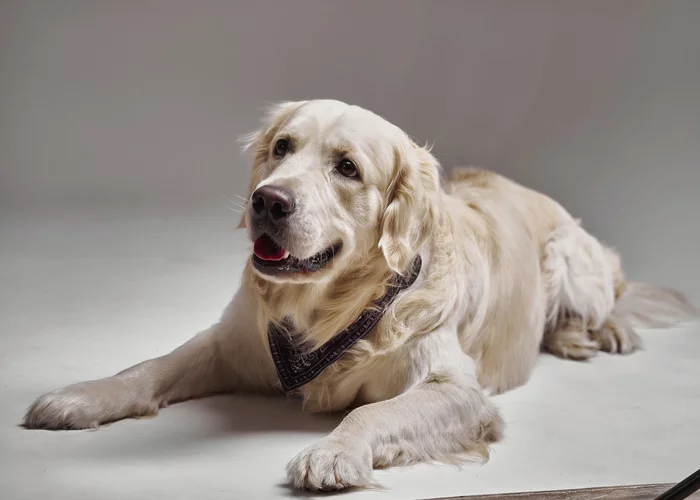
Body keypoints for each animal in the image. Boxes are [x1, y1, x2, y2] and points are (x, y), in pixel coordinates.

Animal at [20, 99, 696, 490]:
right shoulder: (229, 341)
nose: (268, 200)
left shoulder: (460, 391)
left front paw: (333, 453)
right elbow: (149, 367)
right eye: (282, 148)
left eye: (347, 167)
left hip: (569, 256)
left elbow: (372, 411)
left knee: (609, 294)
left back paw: (594, 333)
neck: (326, 306)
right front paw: (82, 397)